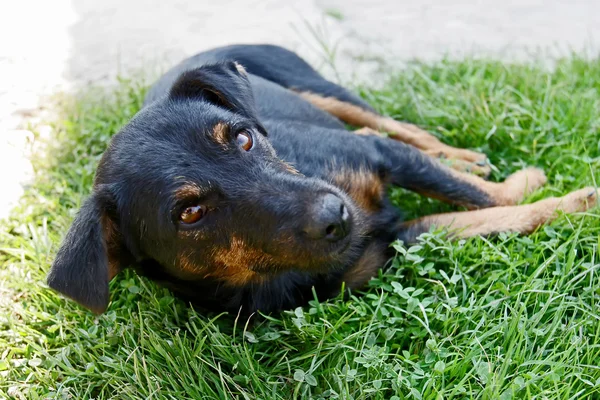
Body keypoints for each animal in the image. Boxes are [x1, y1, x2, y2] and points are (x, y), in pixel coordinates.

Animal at [45, 43, 596, 312]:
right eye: (190, 213)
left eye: (244, 139)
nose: (337, 217)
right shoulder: (398, 243)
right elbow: (496, 217)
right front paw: (567, 202)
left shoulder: (375, 154)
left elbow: (477, 194)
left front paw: (533, 185)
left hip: (324, 92)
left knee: (402, 128)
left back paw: (465, 157)